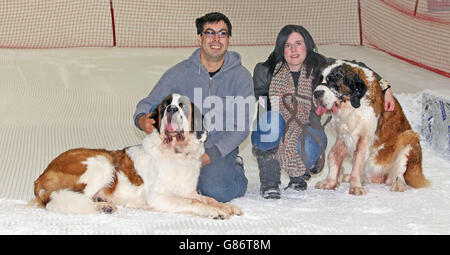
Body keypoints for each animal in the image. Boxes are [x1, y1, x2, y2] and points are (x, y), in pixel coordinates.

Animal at [31, 93, 243, 219]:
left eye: (182, 106)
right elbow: (192, 202)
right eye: (165, 106)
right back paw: (101, 206)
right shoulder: (158, 196)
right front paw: (215, 211)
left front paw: (225, 206)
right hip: (101, 162)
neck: (177, 153)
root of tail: (40, 176)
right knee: (61, 200)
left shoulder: (188, 190)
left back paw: (103, 205)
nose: (172, 109)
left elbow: (206, 198)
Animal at [312, 60, 428, 195]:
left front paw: (355, 187)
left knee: (399, 173)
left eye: (332, 82)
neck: (351, 107)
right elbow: (333, 155)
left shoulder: (364, 138)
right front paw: (330, 182)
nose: (316, 93)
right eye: (320, 80)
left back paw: (398, 184)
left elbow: (357, 163)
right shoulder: (343, 135)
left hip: (409, 137)